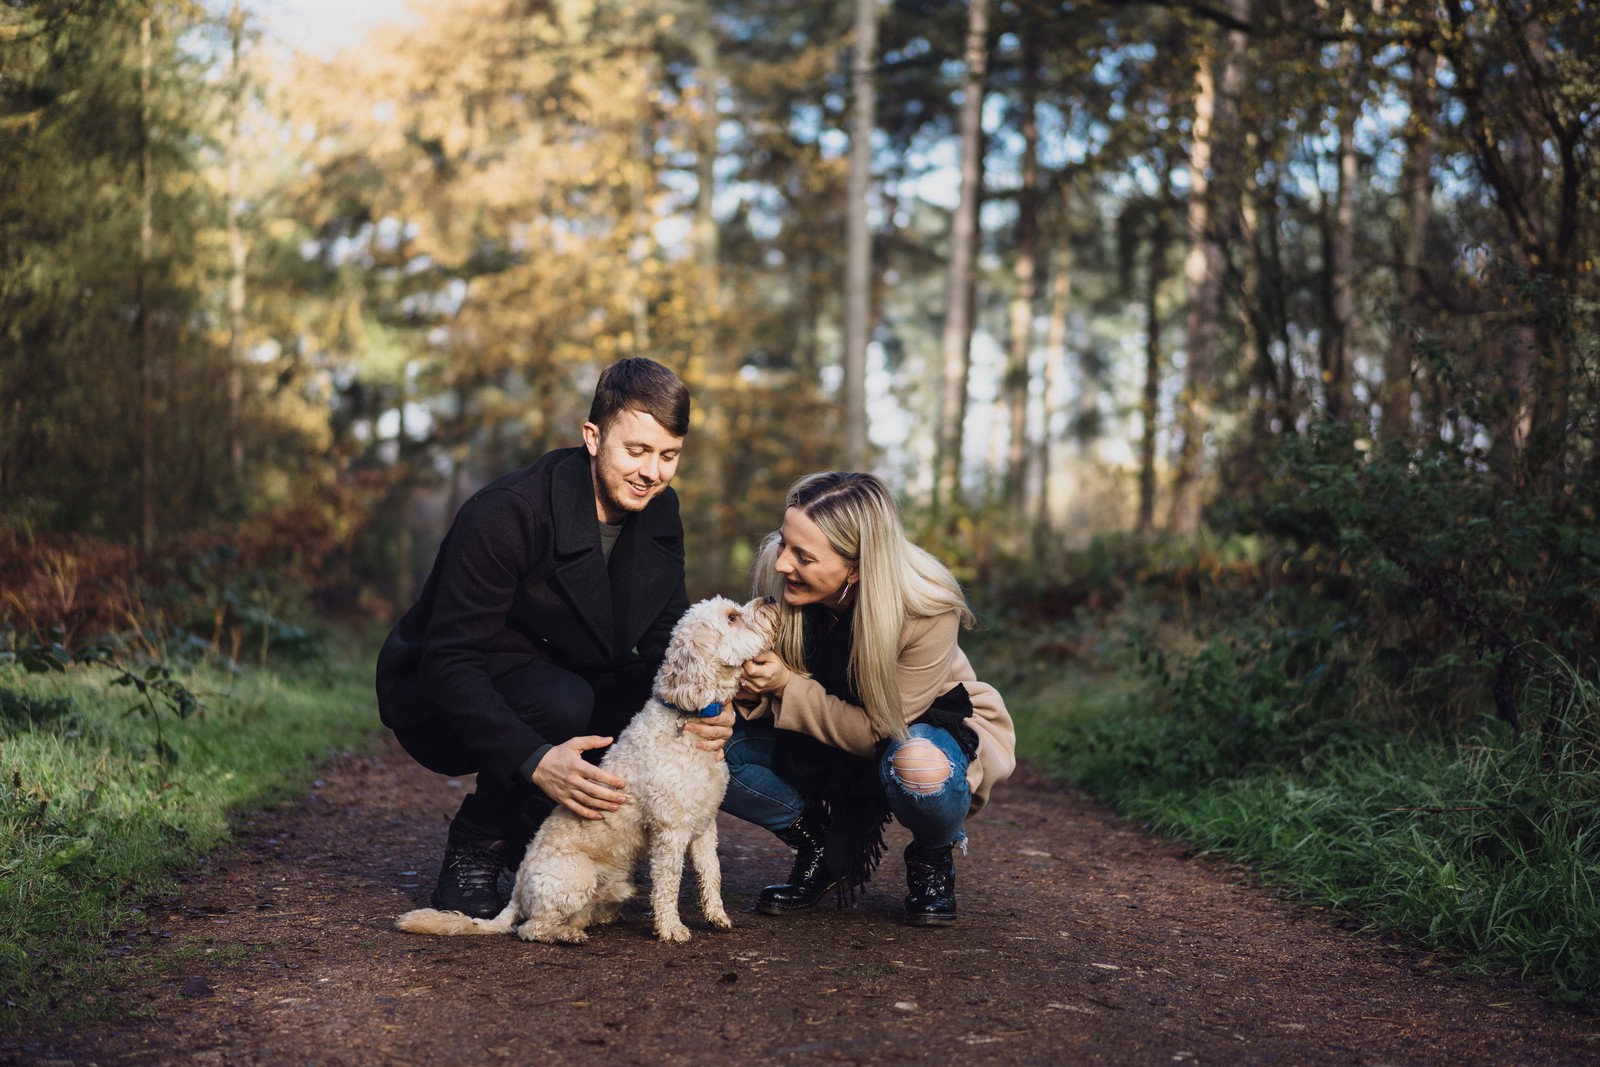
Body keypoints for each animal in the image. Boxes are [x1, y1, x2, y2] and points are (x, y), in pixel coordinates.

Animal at [396, 598, 777, 947]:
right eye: (732, 617)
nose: (771, 599)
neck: (686, 717)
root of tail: (516, 893)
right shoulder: (669, 831)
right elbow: (668, 884)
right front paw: (671, 929)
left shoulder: (705, 825)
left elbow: (712, 874)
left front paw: (717, 917)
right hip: (574, 875)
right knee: (530, 928)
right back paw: (567, 935)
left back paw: (592, 921)